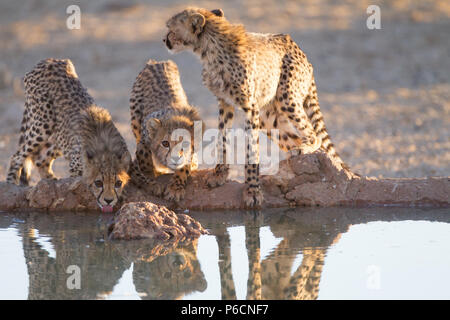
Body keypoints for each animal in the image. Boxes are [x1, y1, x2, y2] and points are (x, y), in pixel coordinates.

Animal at [5, 59, 132, 212]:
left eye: (118, 183)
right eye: (99, 183)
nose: (108, 200)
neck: (105, 150)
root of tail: (50, 60)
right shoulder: (75, 166)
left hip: (58, 137)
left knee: (41, 160)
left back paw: (51, 182)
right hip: (43, 125)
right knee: (18, 155)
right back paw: (11, 185)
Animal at [129, 58, 201, 201]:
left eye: (185, 143)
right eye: (165, 143)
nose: (175, 158)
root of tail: (157, 61)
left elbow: (185, 166)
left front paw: (175, 188)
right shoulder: (143, 142)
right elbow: (143, 161)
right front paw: (152, 181)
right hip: (135, 119)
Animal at [163, 8, 354, 208]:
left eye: (171, 29)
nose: (164, 40)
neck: (209, 49)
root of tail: (299, 50)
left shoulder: (250, 108)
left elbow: (252, 149)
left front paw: (252, 190)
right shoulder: (225, 103)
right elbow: (222, 139)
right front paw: (219, 174)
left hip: (287, 98)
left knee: (313, 135)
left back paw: (304, 149)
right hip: (268, 118)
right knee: (294, 139)